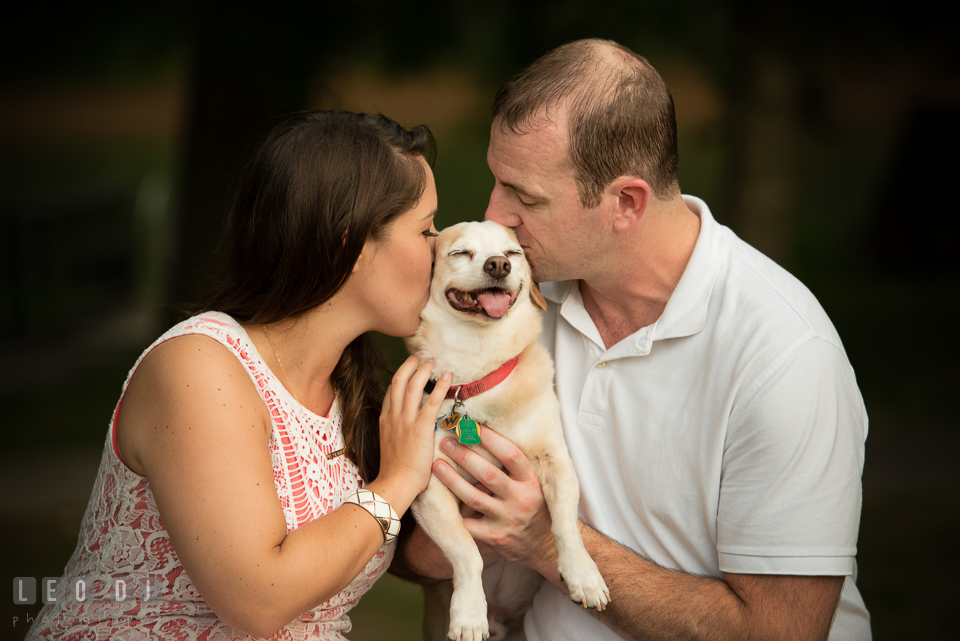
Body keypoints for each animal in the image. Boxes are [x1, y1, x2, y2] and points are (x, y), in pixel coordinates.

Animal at [404, 221, 608, 640]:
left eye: (513, 254)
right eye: (460, 253)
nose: (498, 265)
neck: (478, 370)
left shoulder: (556, 463)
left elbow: (566, 525)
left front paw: (583, 574)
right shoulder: (430, 489)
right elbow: (466, 551)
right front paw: (468, 612)